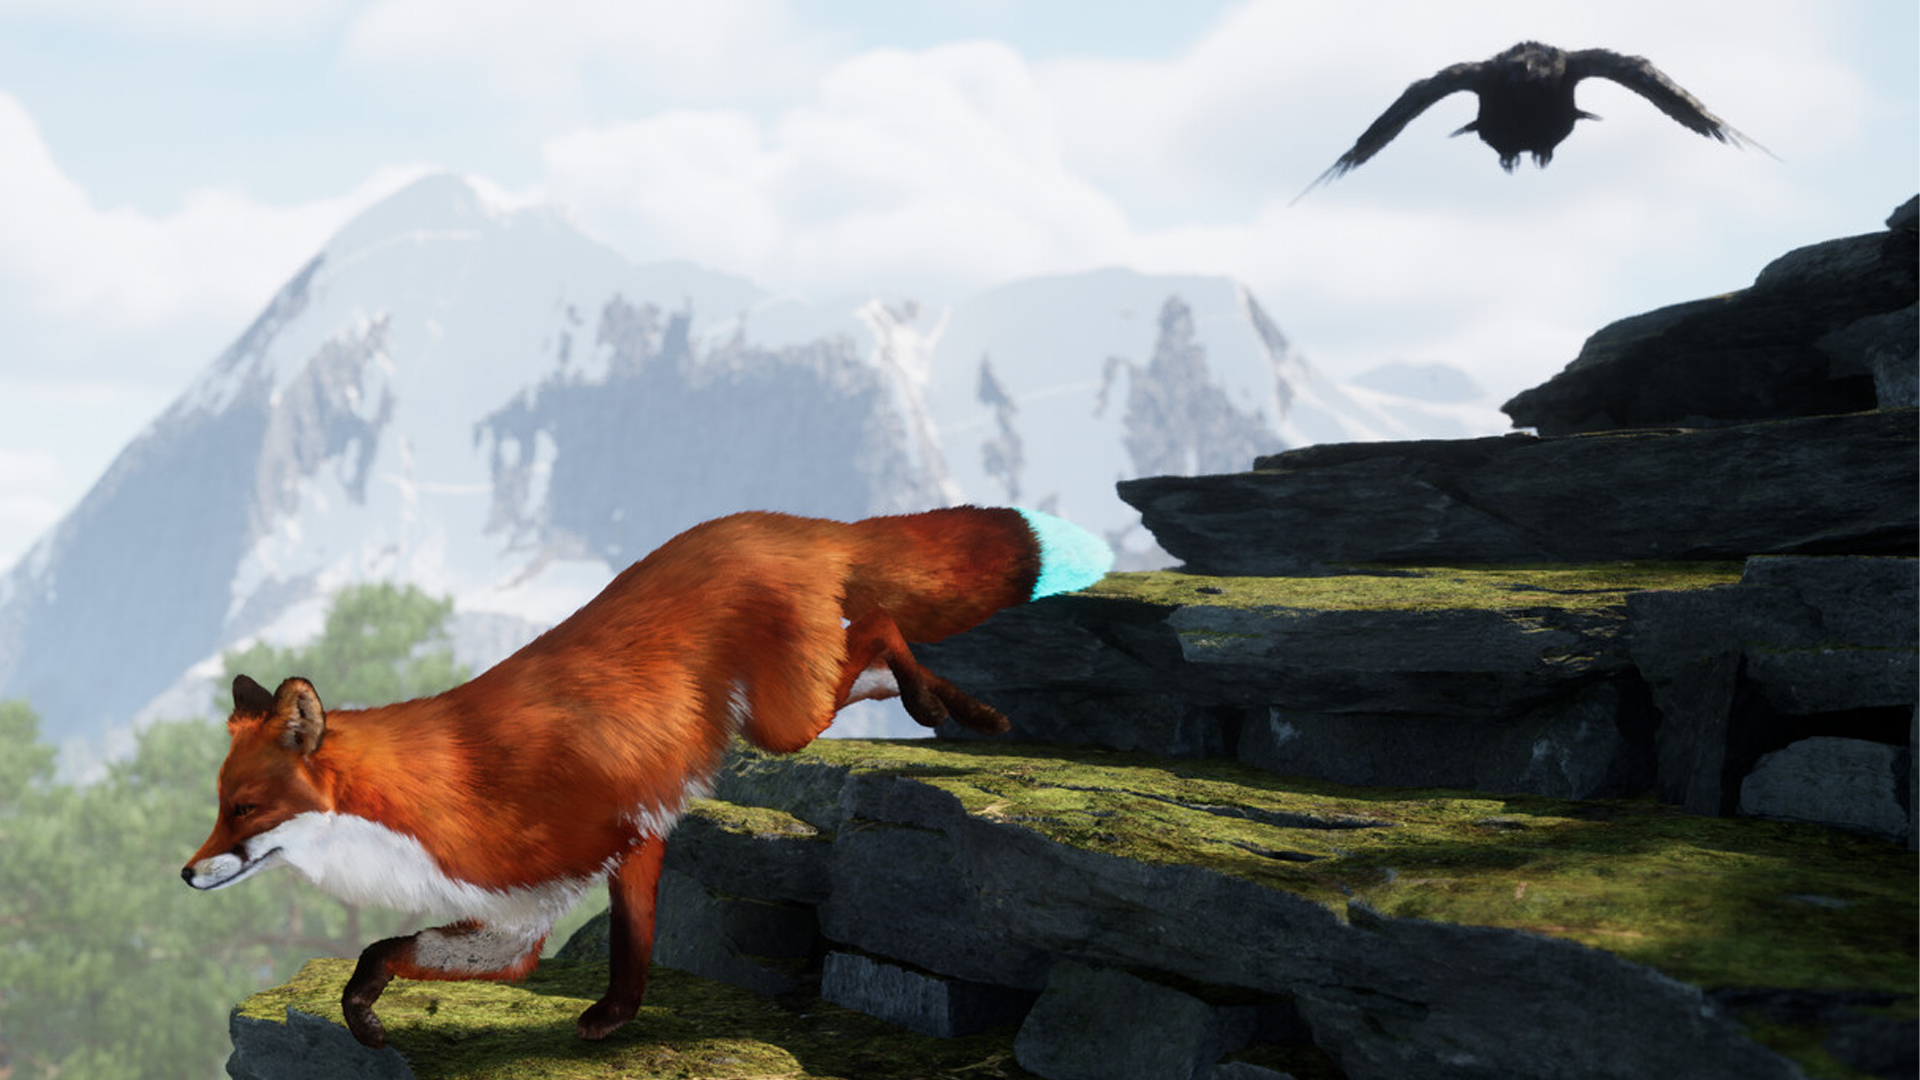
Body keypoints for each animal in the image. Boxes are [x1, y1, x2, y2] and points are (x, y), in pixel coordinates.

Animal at [183, 506, 1110, 1048]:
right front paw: (365, 1017)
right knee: (885, 642)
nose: (185, 874)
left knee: (882, 628)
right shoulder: (514, 919)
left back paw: (944, 705)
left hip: (788, 717)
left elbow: (633, 941)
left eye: (246, 808)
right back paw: (969, 711)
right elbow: (382, 952)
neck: (425, 799)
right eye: (218, 807)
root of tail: (785, 519)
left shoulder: (624, 836)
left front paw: (613, 1020)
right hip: (788, 710)